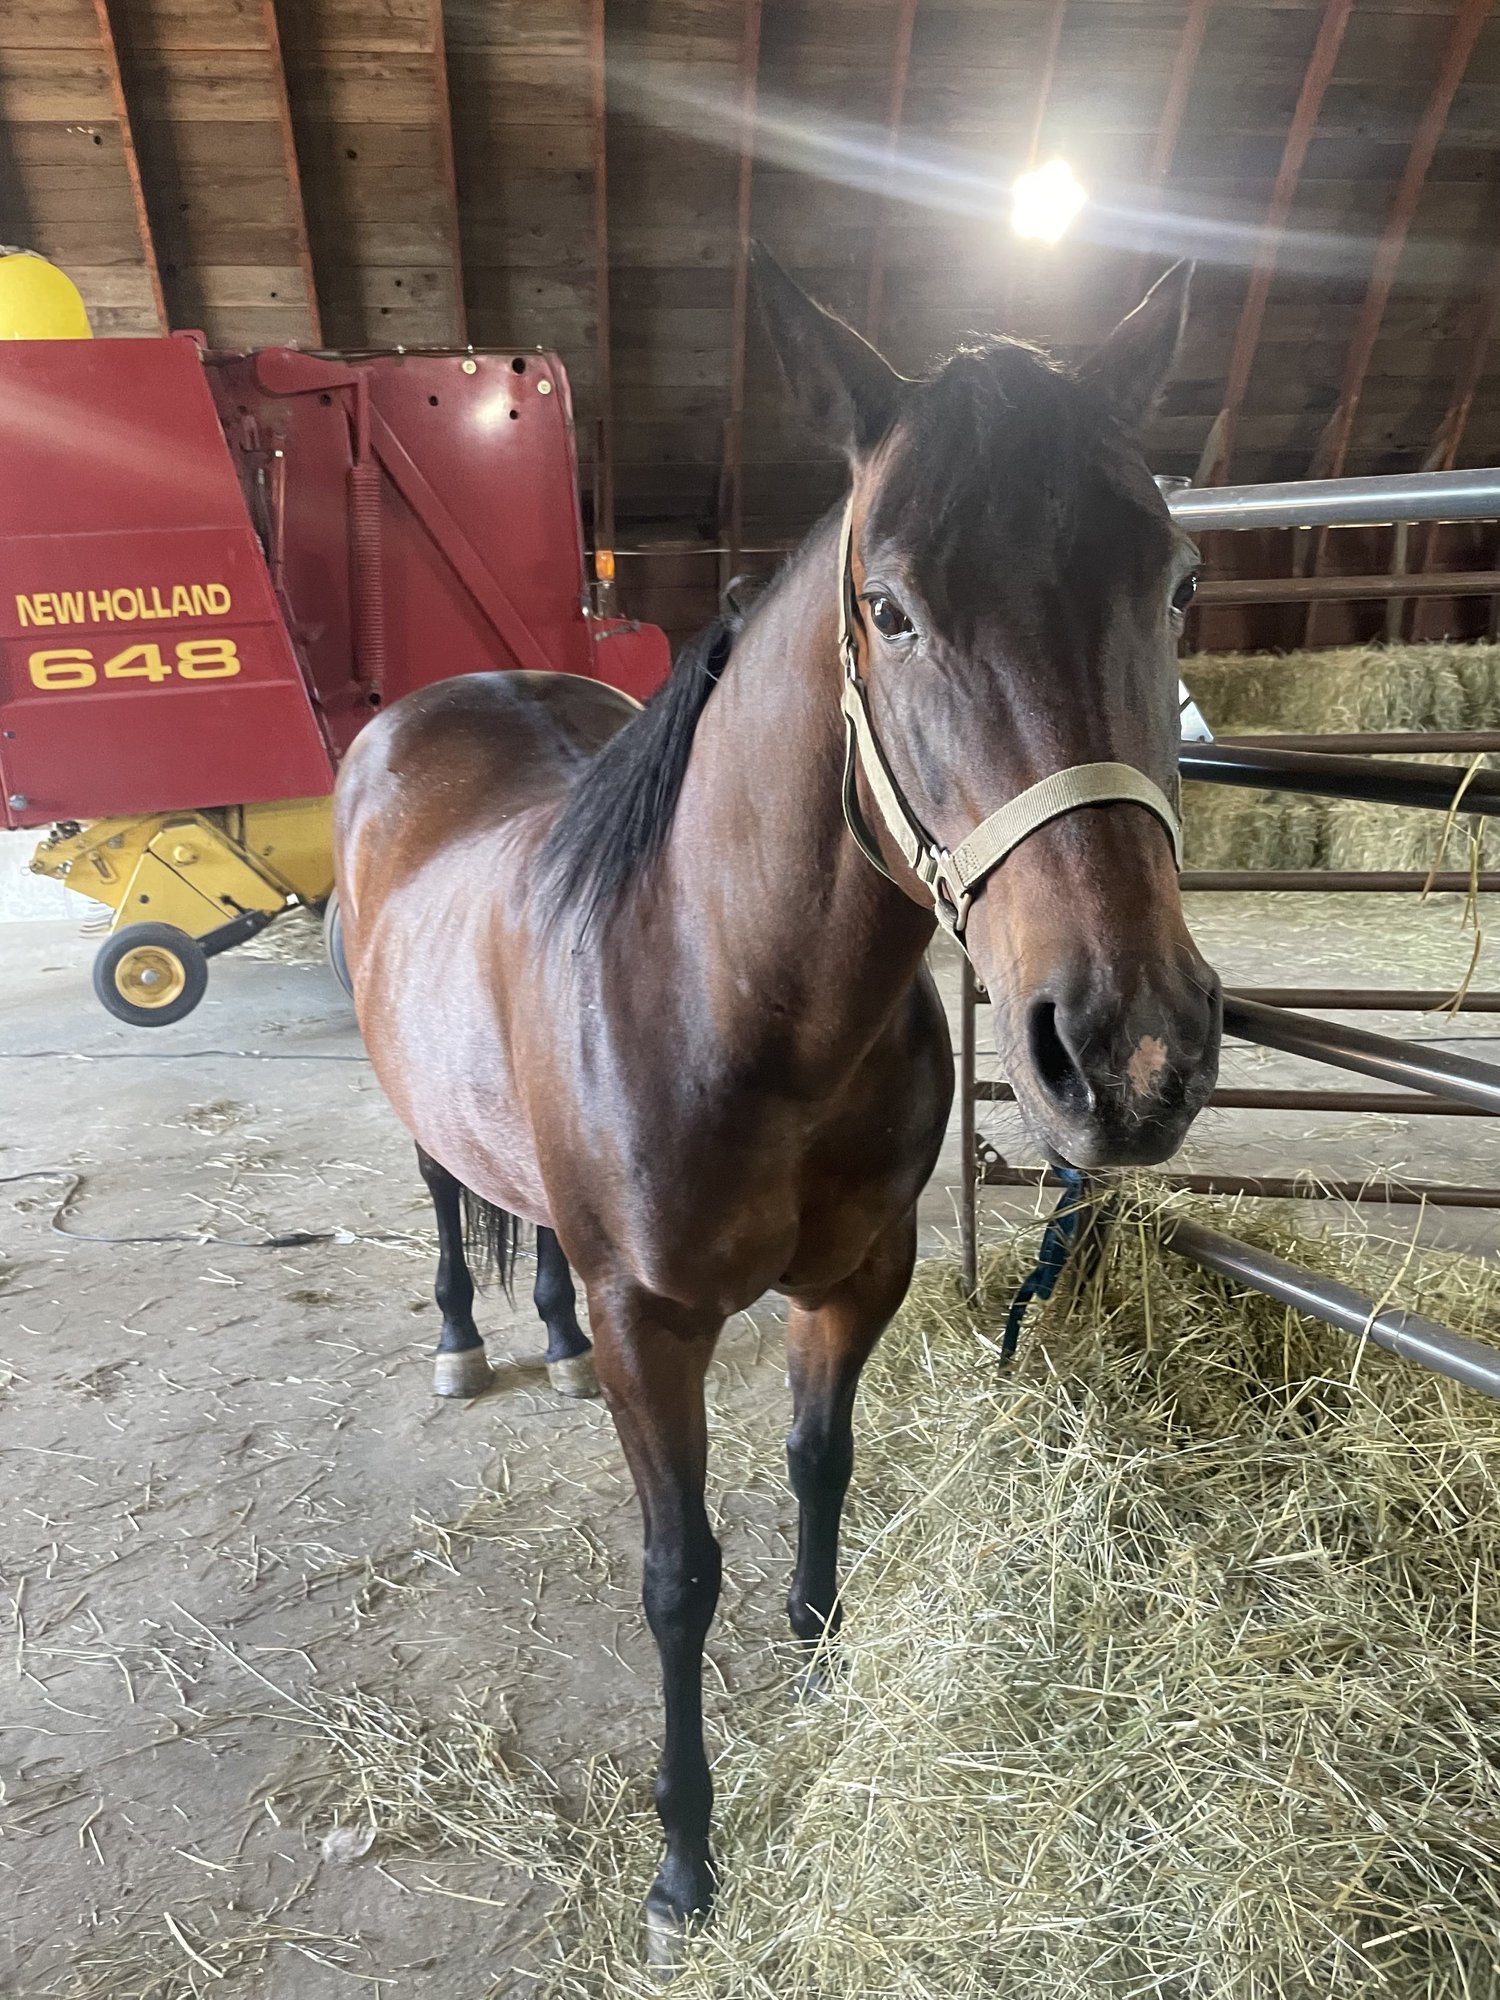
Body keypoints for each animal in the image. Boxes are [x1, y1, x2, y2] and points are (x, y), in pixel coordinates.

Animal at [331, 248, 1222, 1964]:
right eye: (891, 609)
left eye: (1175, 586)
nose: (1129, 1053)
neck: (733, 995)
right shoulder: (654, 1326)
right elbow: (679, 1576)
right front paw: (685, 1860)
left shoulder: (858, 1273)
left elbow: (824, 1463)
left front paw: (820, 1647)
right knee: (442, 1197)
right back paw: (468, 1338)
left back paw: (540, 1338)